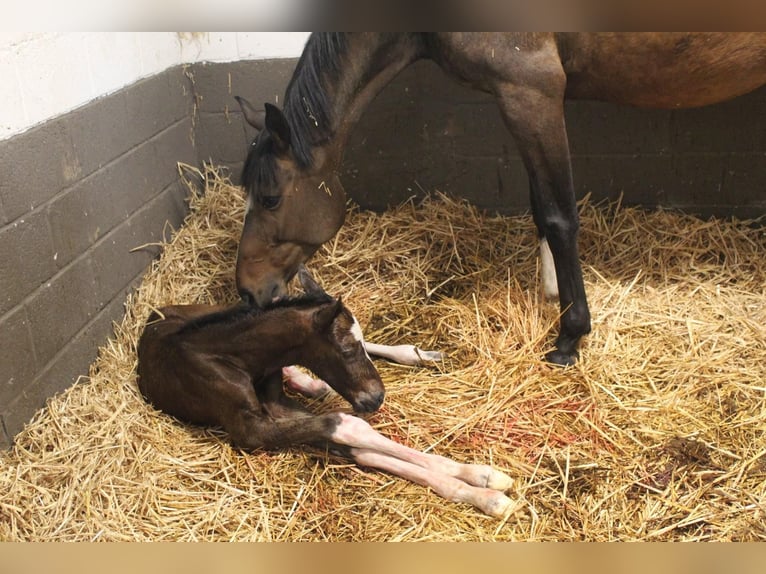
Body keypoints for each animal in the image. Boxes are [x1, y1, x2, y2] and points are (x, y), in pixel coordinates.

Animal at [234, 32, 766, 364]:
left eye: (271, 198)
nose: (247, 290)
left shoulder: (530, 92)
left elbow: (559, 216)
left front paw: (570, 335)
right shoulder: (524, 102)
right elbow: (540, 207)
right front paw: (552, 293)